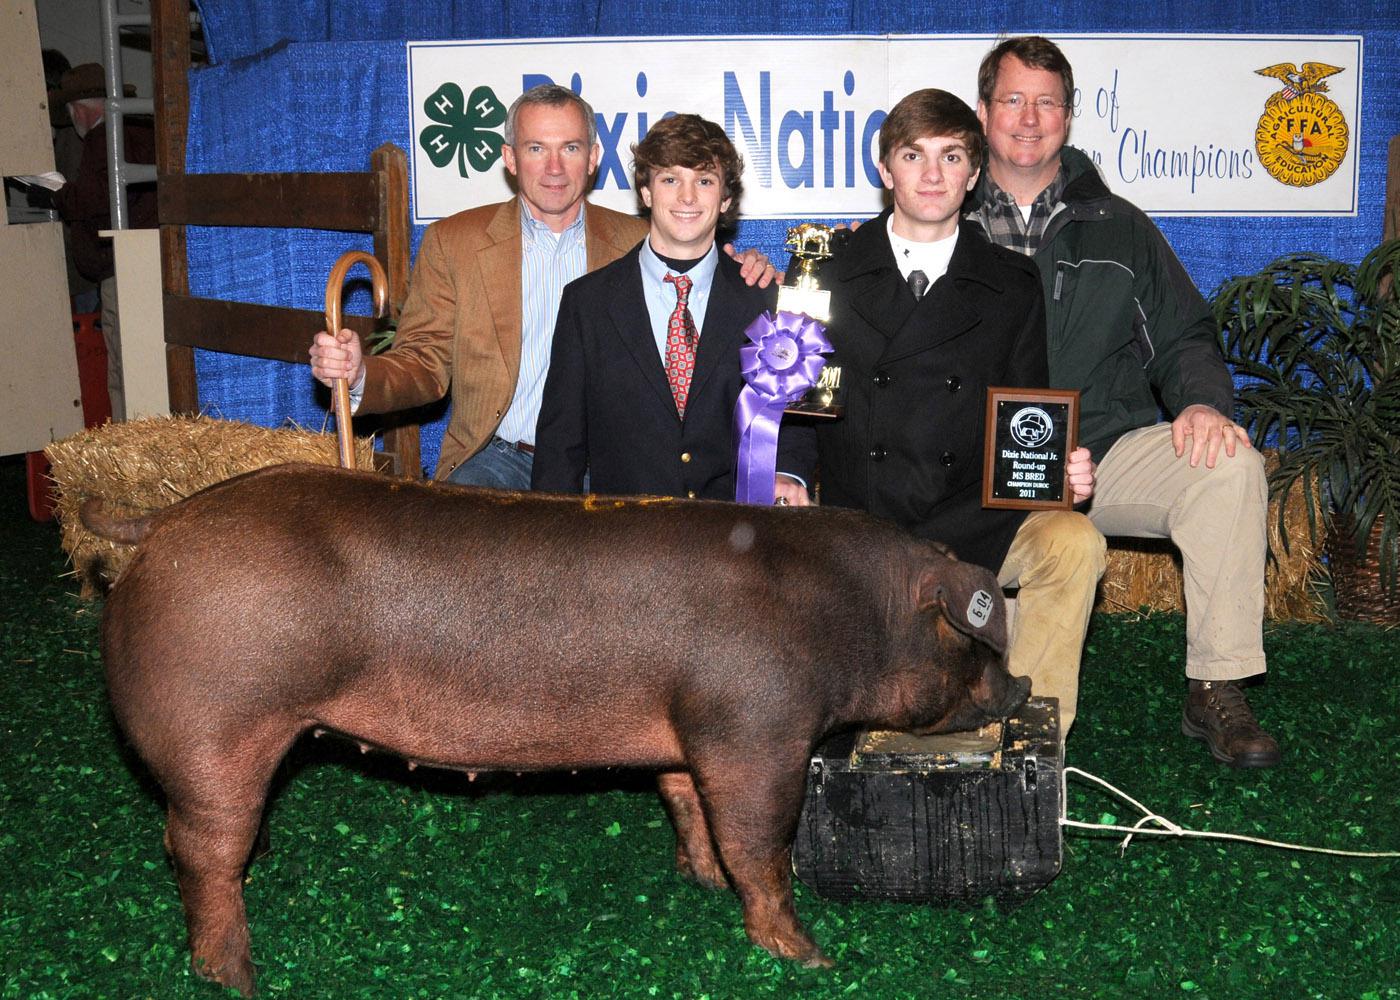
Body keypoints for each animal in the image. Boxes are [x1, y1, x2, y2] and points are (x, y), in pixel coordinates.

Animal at [81, 462, 1036, 991]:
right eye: (971, 637)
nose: (1021, 686)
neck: (852, 612)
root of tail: (162, 519)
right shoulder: (756, 726)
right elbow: (761, 843)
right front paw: (810, 958)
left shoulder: (690, 730)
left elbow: (688, 805)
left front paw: (701, 884)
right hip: (217, 721)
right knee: (198, 846)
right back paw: (238, 975)